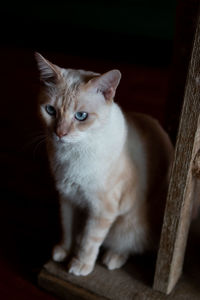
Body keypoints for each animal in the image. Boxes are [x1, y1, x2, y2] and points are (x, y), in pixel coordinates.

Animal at [35, 52, 173, 276]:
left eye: (81, 116)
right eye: (50, 111)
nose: (60, 134)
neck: (71, 154)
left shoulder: (102, 209)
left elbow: (89, 241)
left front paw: (79, 265)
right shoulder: (67, 197)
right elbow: (68, 228)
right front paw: (64, 251)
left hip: (130, 226)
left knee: (132, 245)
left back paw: (113, 258)